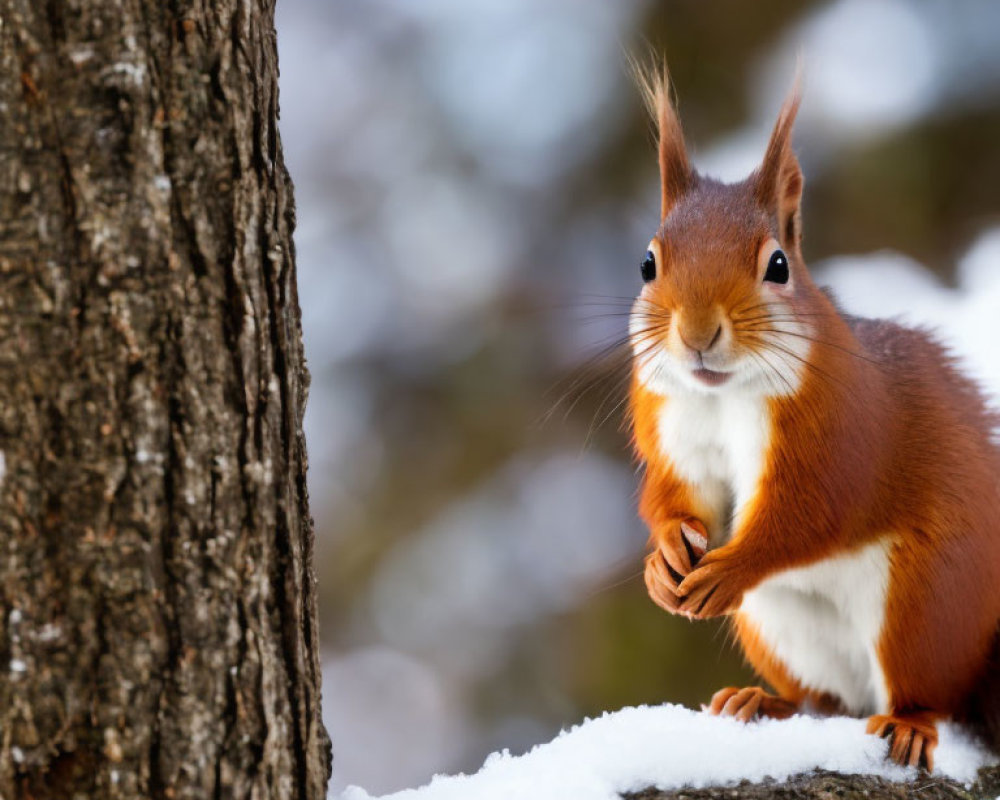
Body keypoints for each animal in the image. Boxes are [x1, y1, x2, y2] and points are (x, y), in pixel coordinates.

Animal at [628, 64, 1000, 776]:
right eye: (647, 263)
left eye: (778, 265)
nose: (696, 334)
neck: (724, 397)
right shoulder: (674, 434)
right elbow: (673, 496)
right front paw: (663, 560)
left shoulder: (844, 434)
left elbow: (812, 514)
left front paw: (731, 568)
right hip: (778, 629)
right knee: (827, 702)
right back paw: (763, 702)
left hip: (923, 603)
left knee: (926, 692)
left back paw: (909, 724)